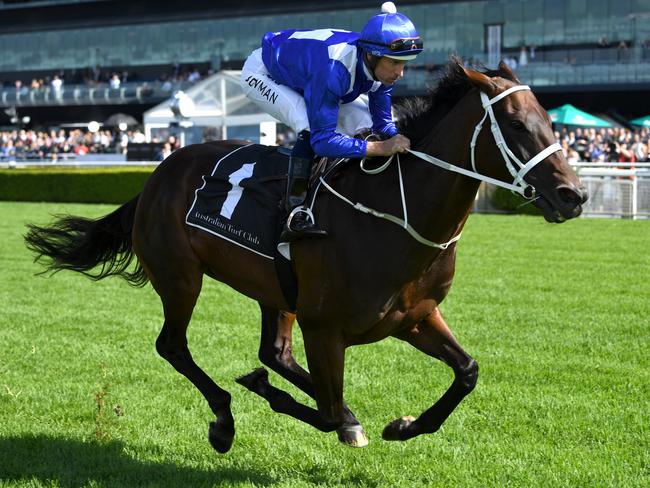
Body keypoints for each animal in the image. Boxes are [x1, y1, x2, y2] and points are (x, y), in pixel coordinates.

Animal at [24, 60, 588, 454]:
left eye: (547, 119)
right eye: (515, 124)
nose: (574, 195)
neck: (394, 215)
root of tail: (158, 173)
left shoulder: (414, 316)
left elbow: (467, 371)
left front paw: (404, 425)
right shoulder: (325, 328)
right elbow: (331, 411)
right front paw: (299, 405)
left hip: (275, 289)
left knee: (274, 351)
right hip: (181, 278)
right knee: (173, 346)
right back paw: (225, 419)